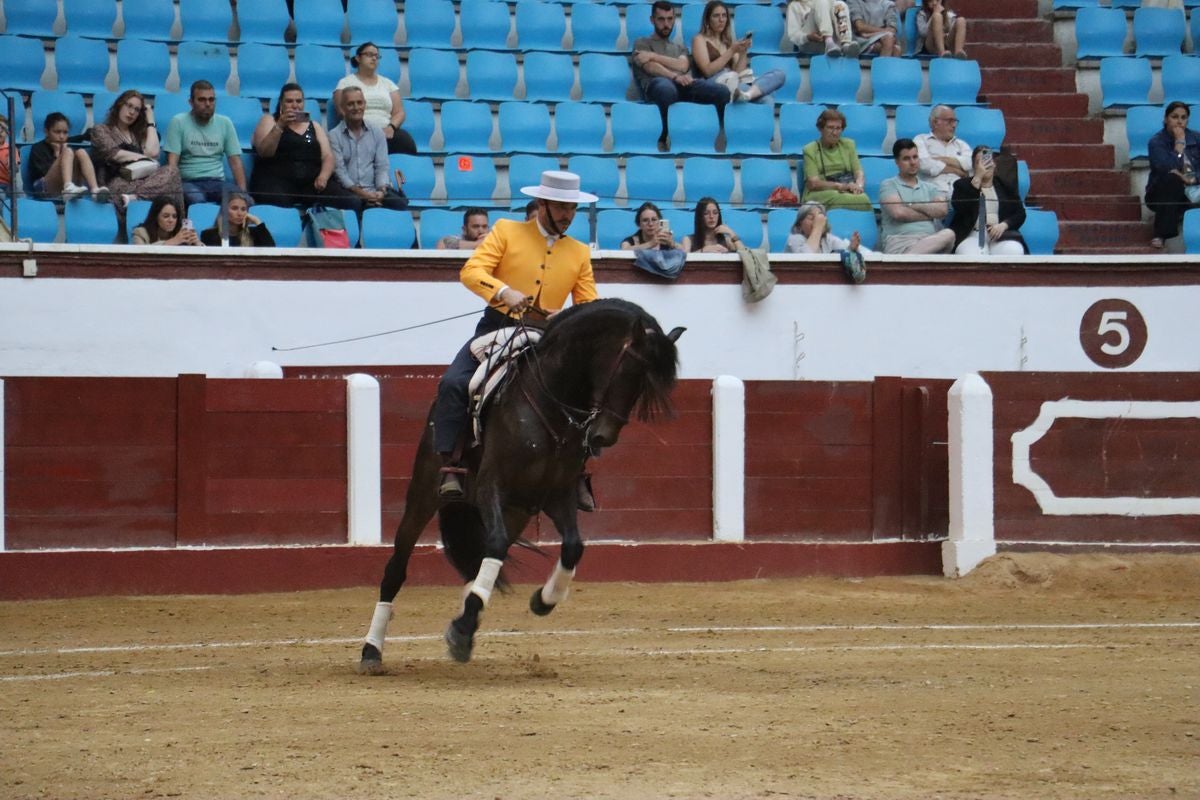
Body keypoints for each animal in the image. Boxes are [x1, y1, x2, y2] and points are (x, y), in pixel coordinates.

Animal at [359, 298, 684, 670]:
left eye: (644, 385)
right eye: (628, 371)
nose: (603, 436)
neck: (551, 403)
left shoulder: (557, 494)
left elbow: (573, 547)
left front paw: (543, 600)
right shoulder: (491, 486)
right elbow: (499, 545)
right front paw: (464, 629)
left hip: (517, 511)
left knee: (482, 559)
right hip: (426, 492)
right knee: (397, 568)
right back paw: (372, 650)